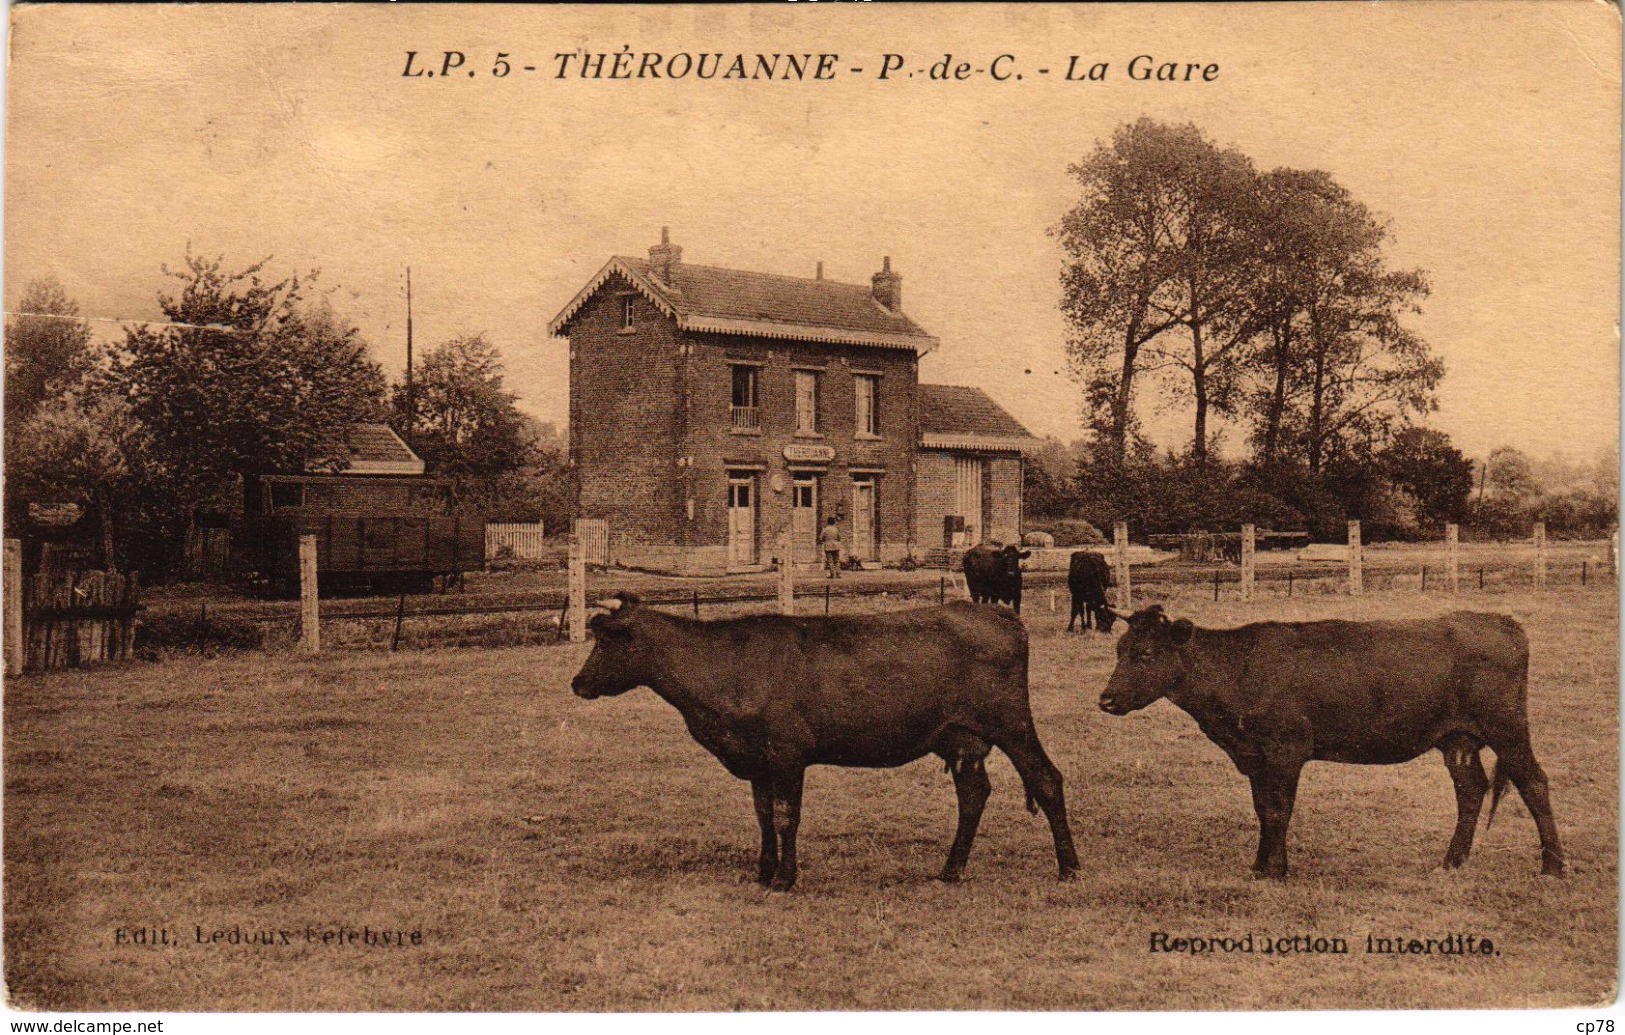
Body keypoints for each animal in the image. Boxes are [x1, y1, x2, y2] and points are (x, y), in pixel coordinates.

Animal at [572, 594, 1079, 890]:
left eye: (605, 641)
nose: (577, 683)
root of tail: (999, 612)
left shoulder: (787, 753)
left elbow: (784, 816)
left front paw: (785, 879)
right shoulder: (758, 759)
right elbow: (762, 815)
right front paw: (763, 872)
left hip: (1010, 721)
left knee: (1046, 779)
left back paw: (1069, 868)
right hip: (962, 737)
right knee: (973, 794)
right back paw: (951, 870)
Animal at [1098, 604, 1566, 877]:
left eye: (1145, 653)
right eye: (1119, 649)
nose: (1106, 699)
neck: (1239, 670)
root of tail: (1501, 621)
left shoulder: (1285, 749)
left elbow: (1278, 809)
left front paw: (1276, 871)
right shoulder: (1255, 755)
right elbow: (1262, 809)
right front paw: (1260, 866)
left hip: (1507, 728)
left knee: (1534, 783)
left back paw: (1553, 867)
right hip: (1458, 738)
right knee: (1471, 790)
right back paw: (1452, 862)